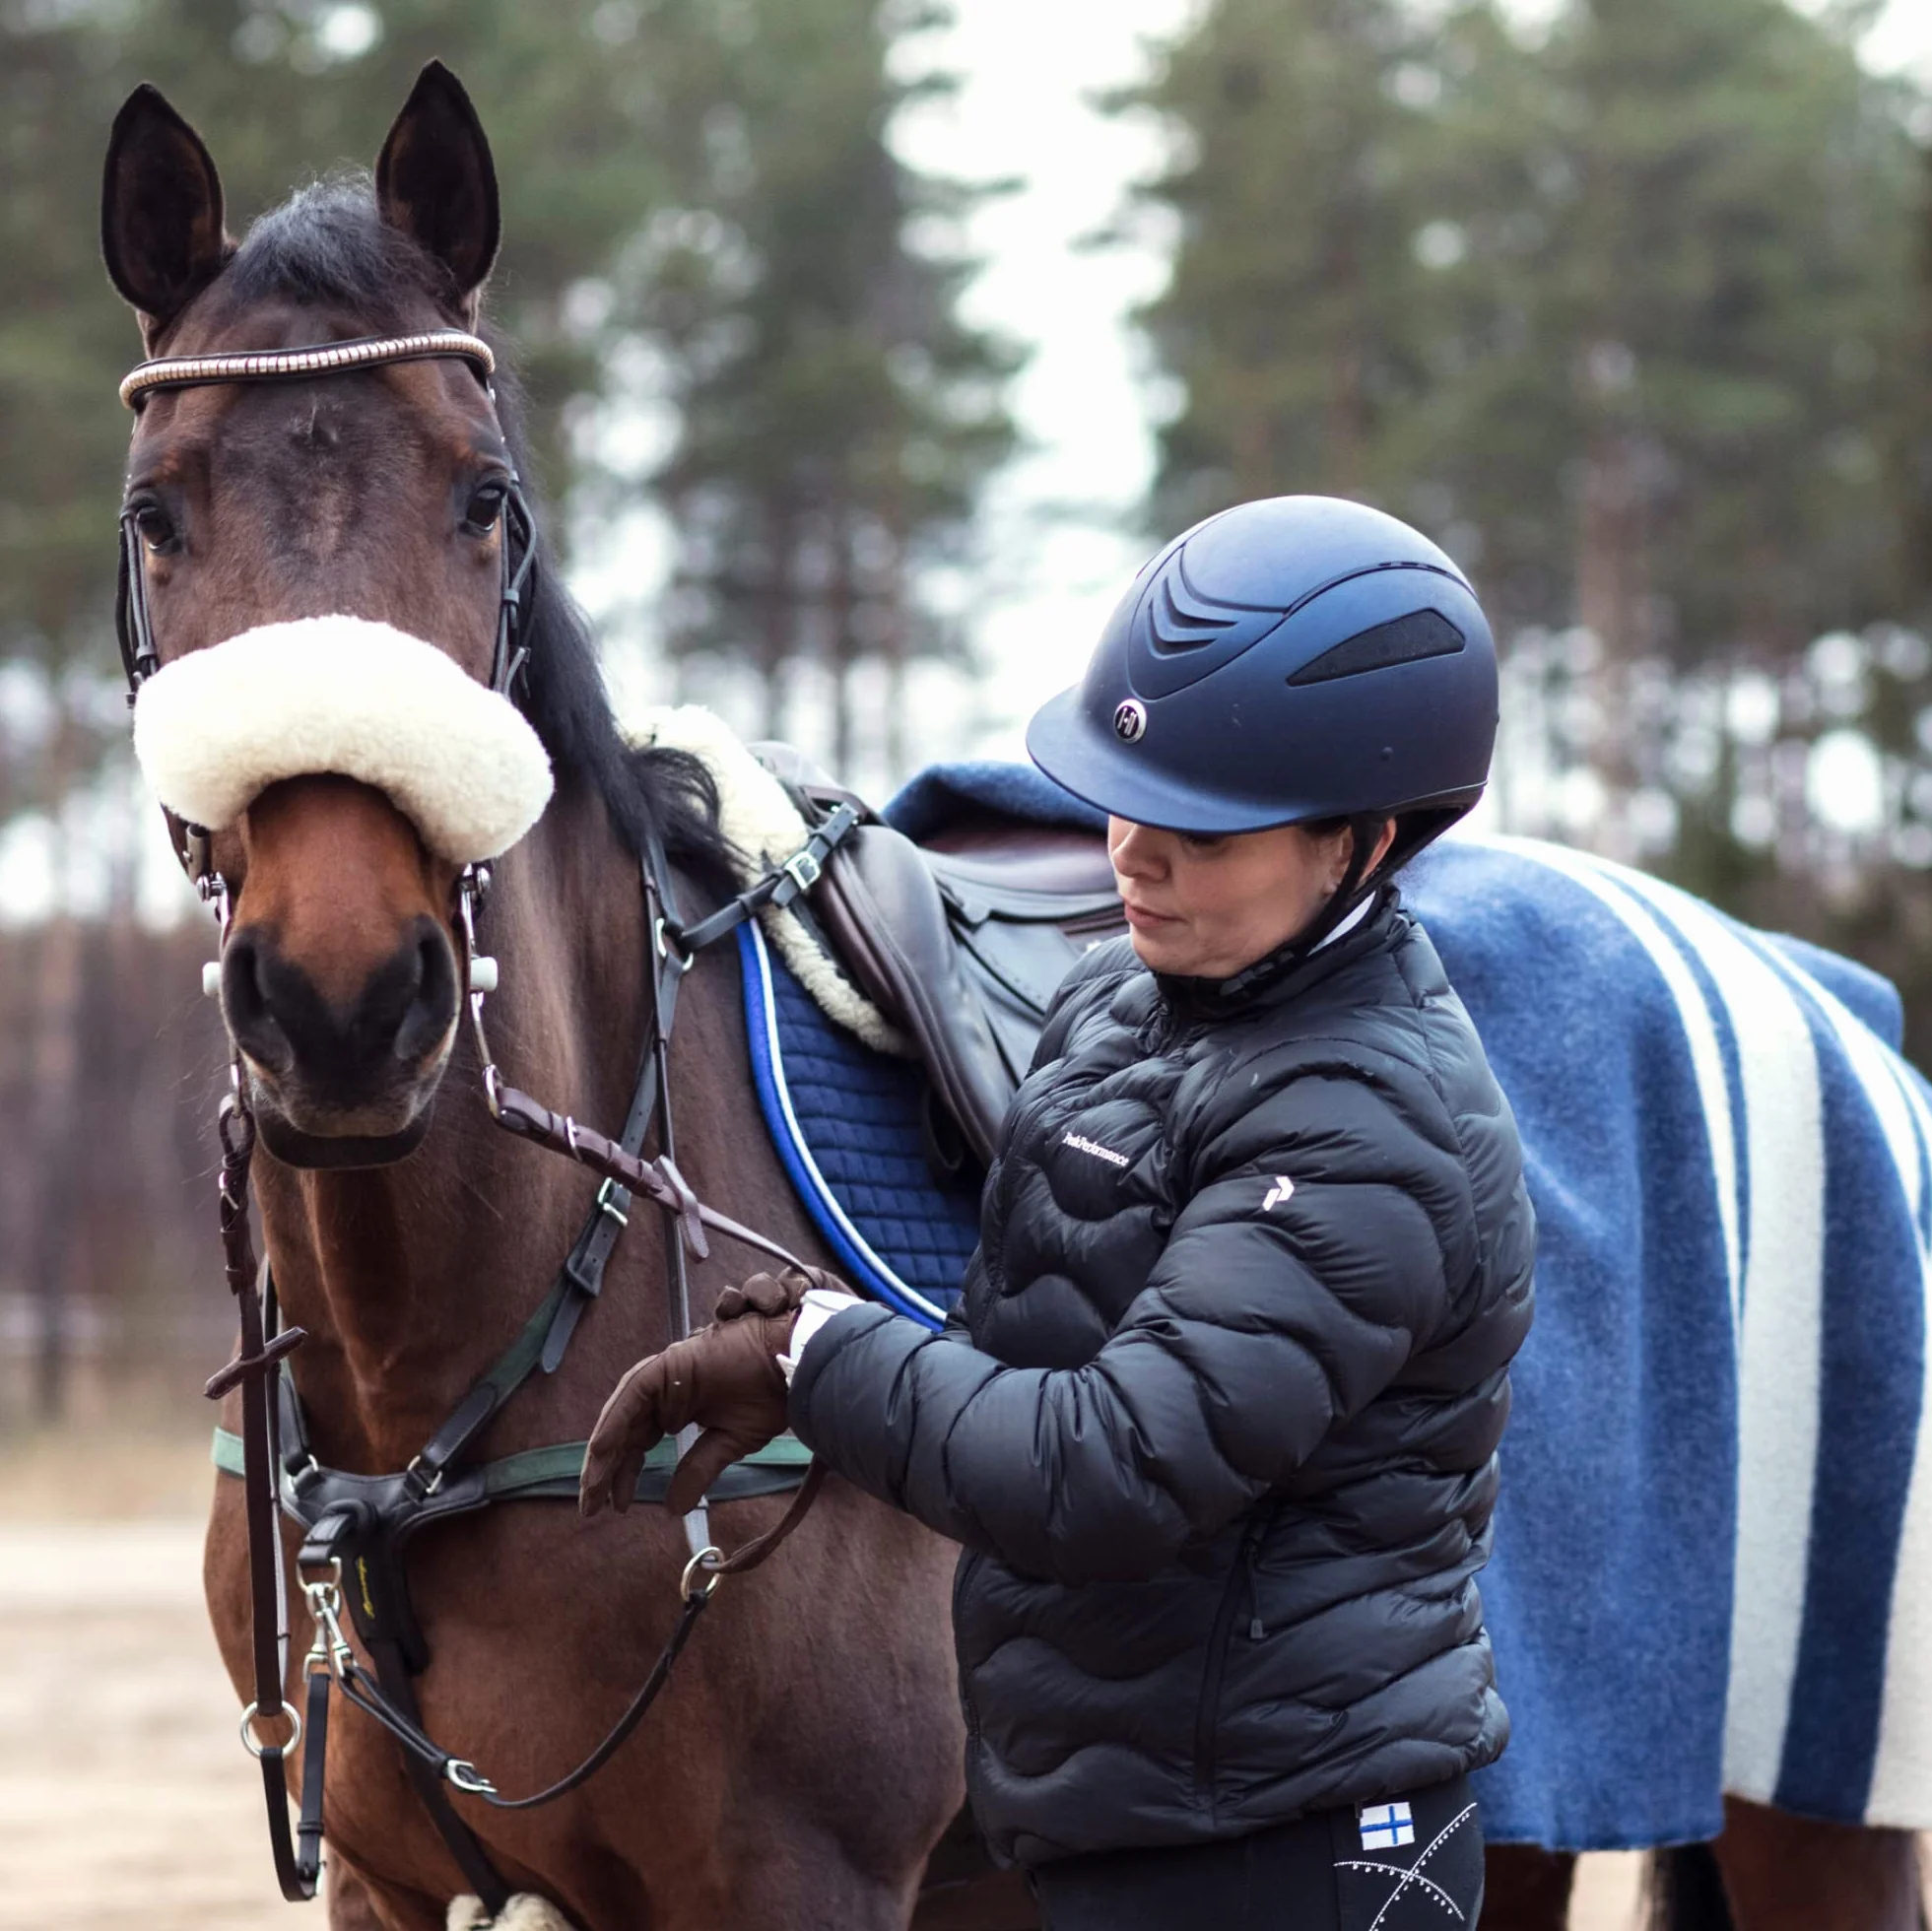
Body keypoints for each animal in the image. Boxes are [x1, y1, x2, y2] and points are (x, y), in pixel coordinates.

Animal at [103, 62, 1928, 1931]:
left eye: (481, 498)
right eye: (158, 514)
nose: (342, 999)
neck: (449, 1391)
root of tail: (1820, 991)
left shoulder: (800, 1877)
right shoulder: (382, 1881)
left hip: (1819, 1799)